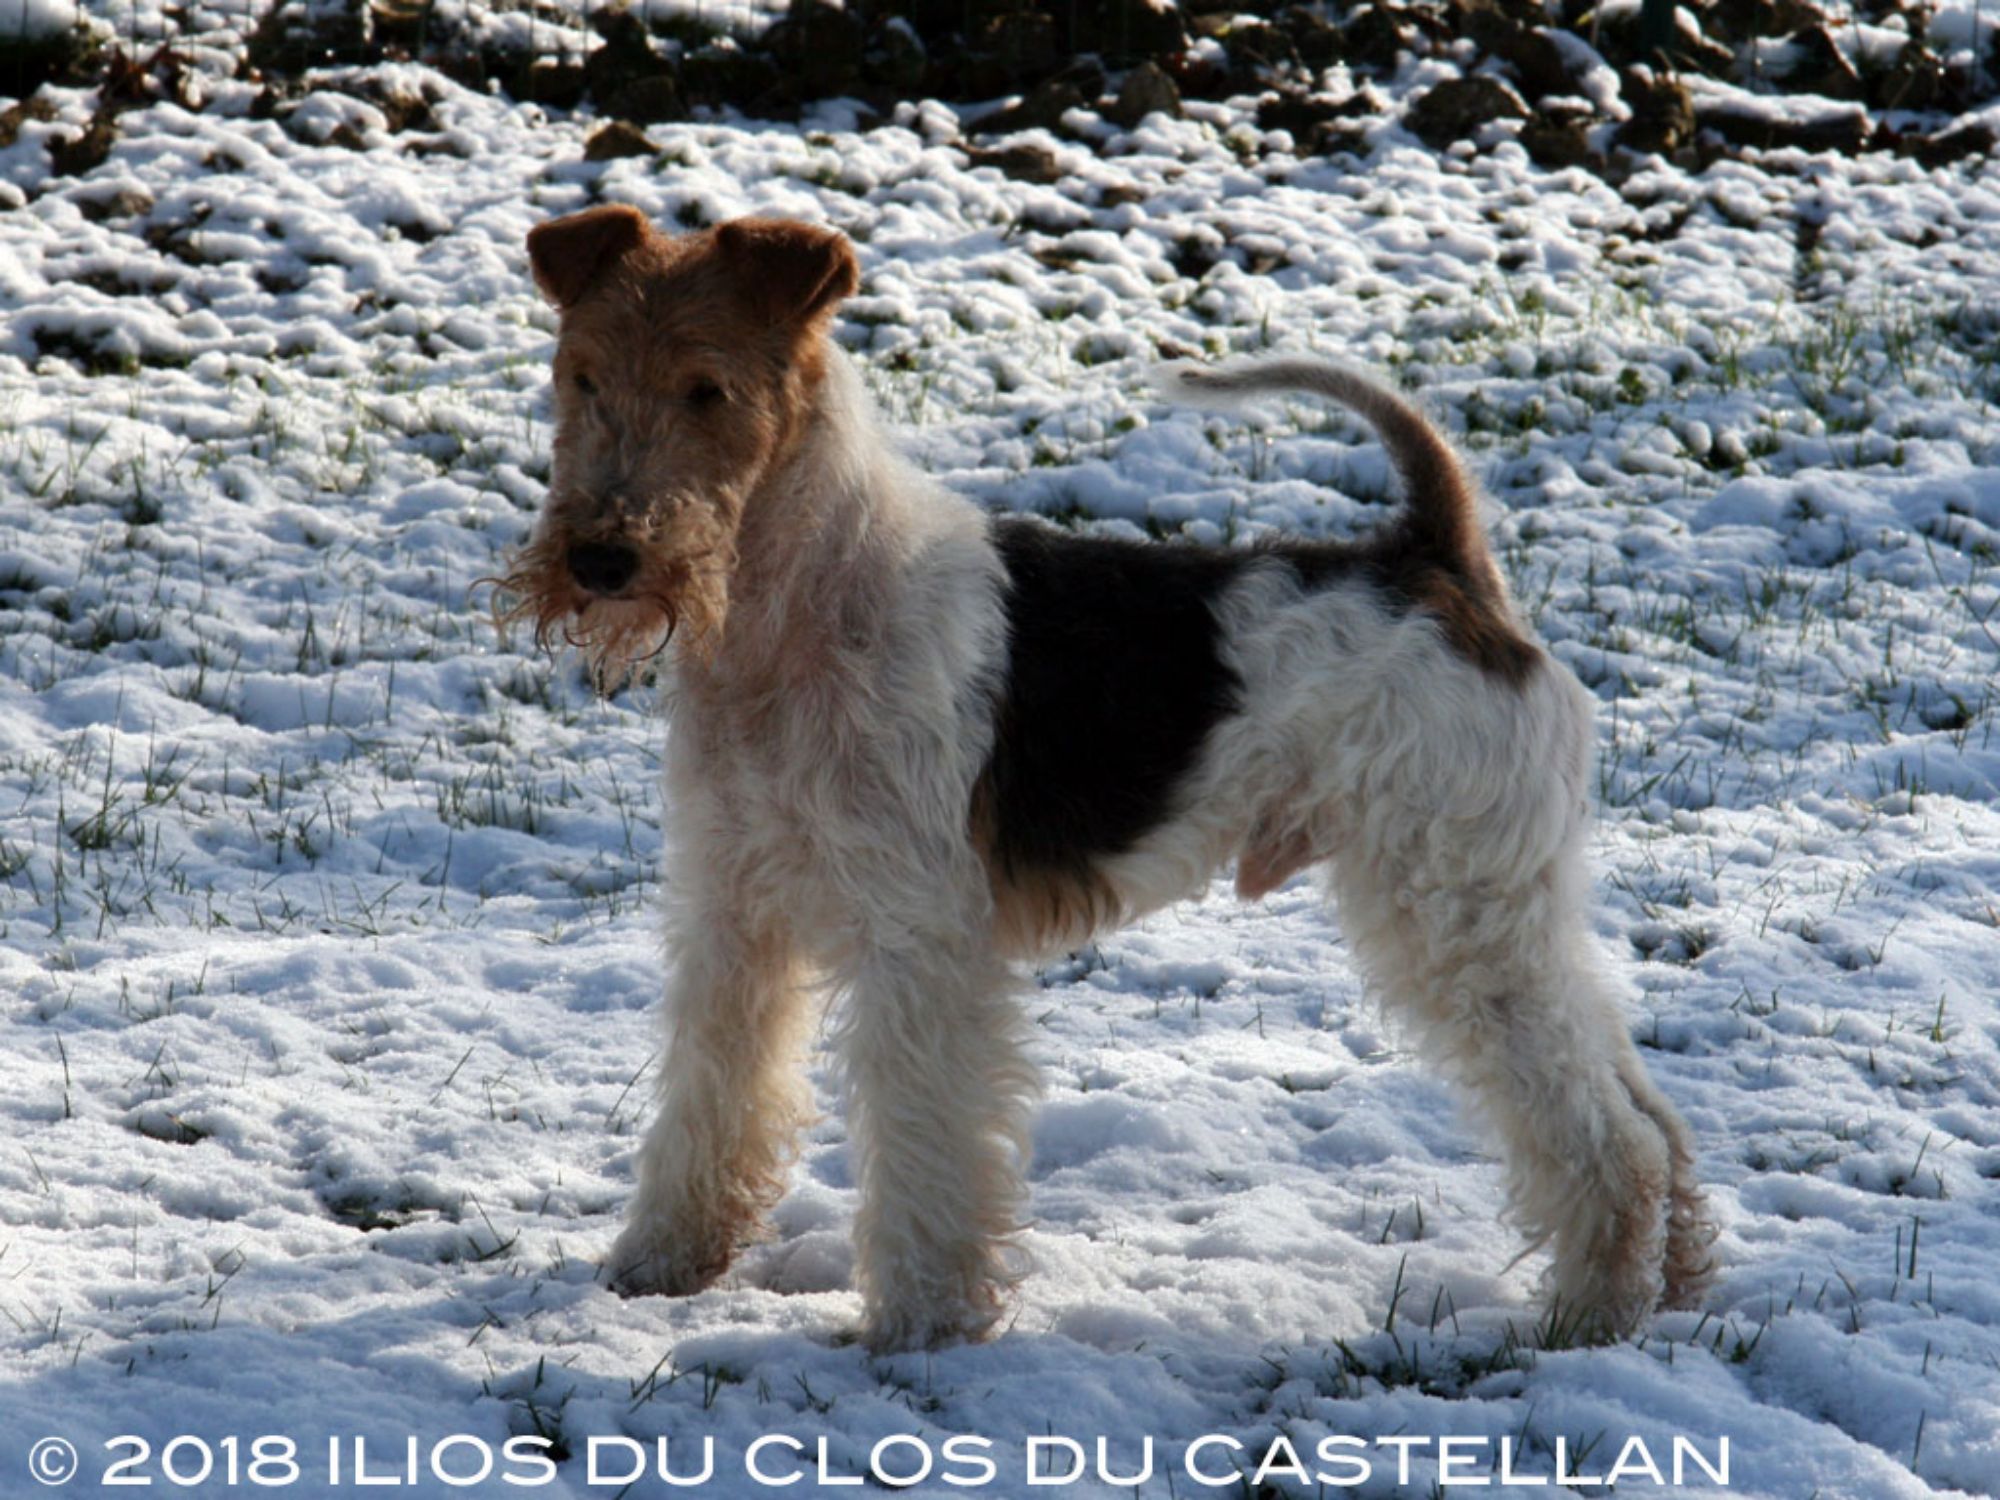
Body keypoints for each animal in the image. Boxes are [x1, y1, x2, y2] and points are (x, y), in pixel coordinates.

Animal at [495, 204, 1714, 1351]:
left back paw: (1589, 1317)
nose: (601, 559)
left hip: (1453, 905)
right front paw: (661, 1260)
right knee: (1643, 1103)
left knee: (1604, 1135)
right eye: (582, 374)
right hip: (1511, 904)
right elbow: (712, 1095)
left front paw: (920, 1322)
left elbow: (925, 1144)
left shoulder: (917, 939)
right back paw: (1675, 1286)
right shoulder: (730, 913)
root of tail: (1438, 564)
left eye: (707, 389)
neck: (790, 610)